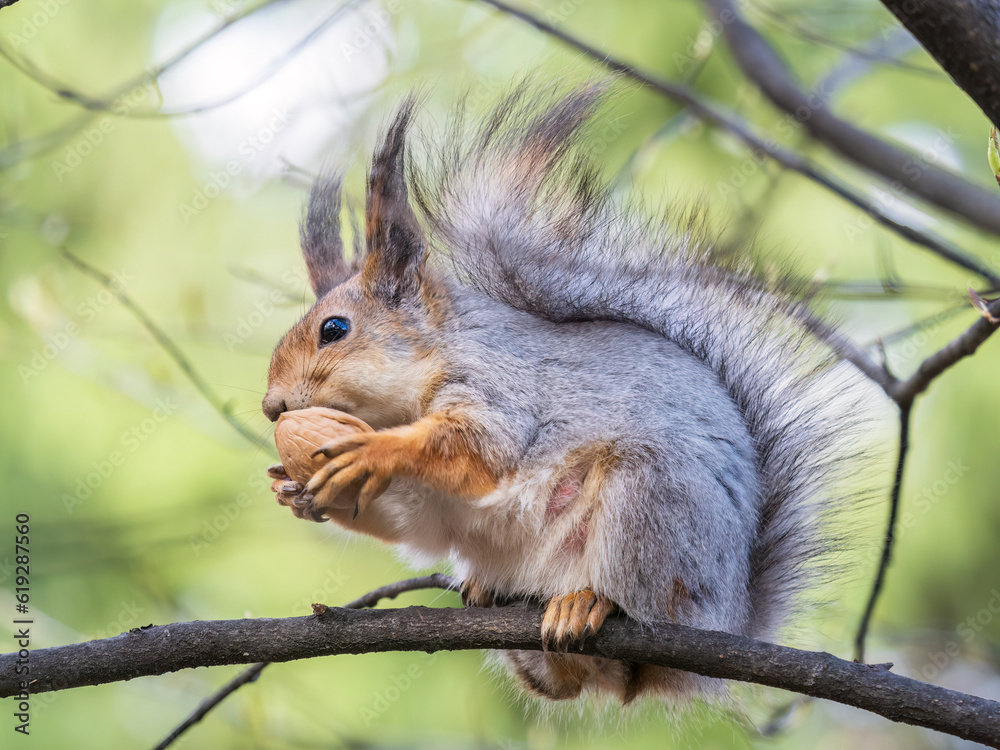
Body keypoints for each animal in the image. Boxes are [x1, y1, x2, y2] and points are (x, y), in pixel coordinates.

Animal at [262, 84, 871, 704]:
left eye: (334, 329)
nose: (271, 407)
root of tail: (728, 617)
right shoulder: (433, 498)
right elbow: (417, 518)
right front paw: (297, 490)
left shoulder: (502, 388)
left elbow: (478, 451)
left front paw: (371, 451)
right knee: (566, 682)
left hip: (652, 503)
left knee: (639, 605)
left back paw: (588, 602)